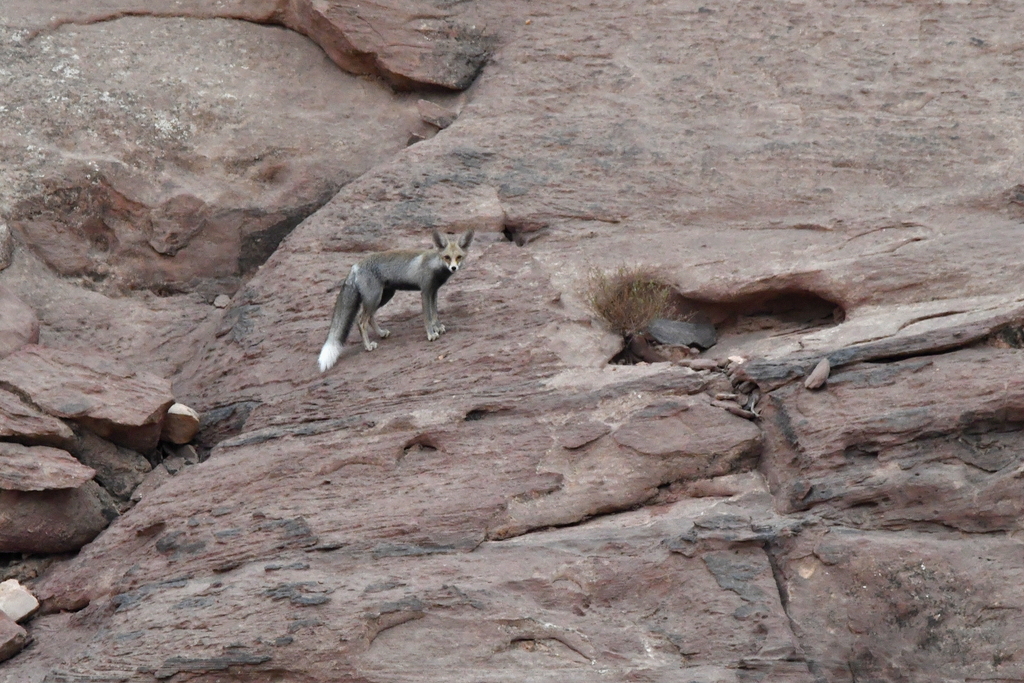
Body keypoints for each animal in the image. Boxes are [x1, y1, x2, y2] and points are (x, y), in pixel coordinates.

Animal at [317, 230, 475, 372]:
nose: (453, 268)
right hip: (374, 298)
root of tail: (355, 266)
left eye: (459, 257)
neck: (434, 265)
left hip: (383, 297)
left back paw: (381, 333)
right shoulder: (425, 292)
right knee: (361, 321)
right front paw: (431, 334)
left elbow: (435, 314)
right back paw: (368, 346)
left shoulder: (434, 291)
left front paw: (438, 327)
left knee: (370, 317)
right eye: (447, 257)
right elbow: (427, 317)